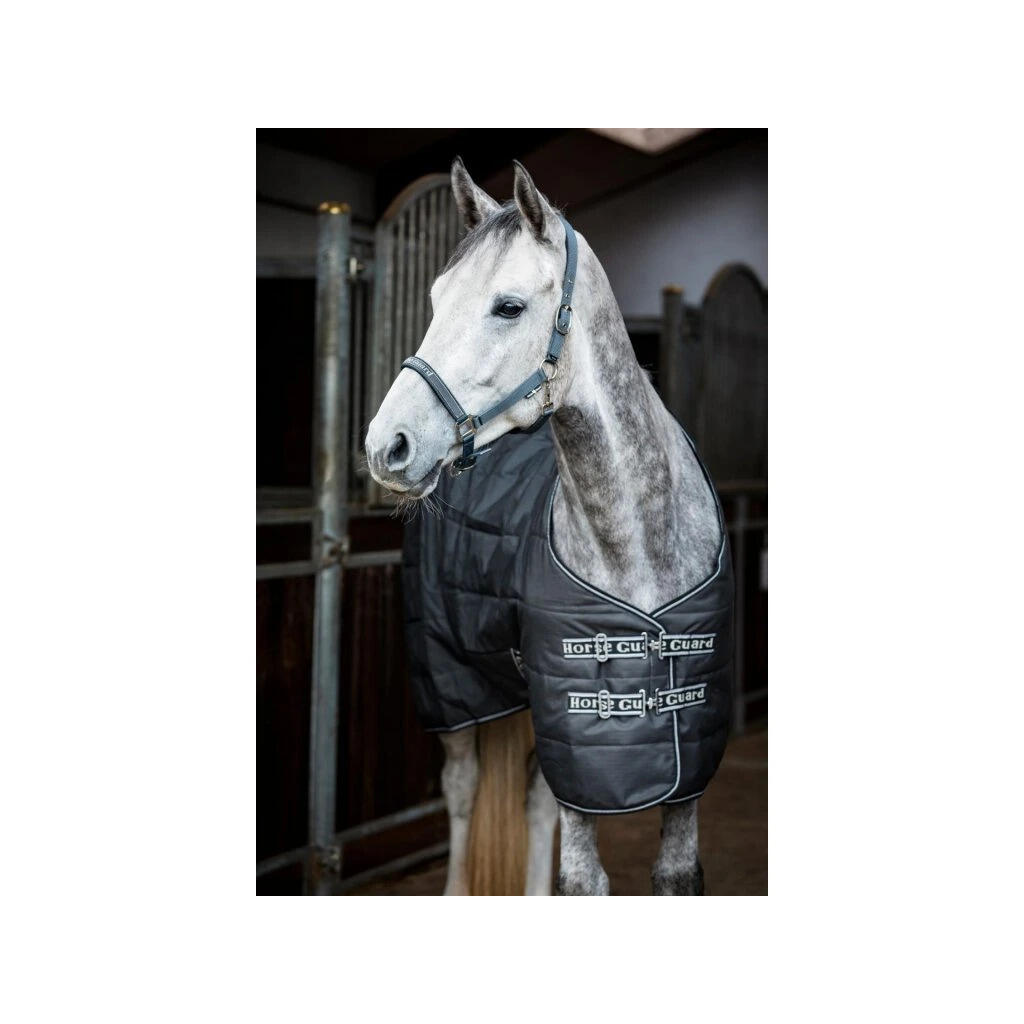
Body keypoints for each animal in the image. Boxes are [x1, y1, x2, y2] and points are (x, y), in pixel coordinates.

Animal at [365, 159, 726, 895]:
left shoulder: (687, 761)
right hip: (453, 690)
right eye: (435, 299)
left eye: (507, 307)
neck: (639, 545)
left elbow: (673, 872)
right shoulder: (574, 740)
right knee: (464, 790)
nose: (386, 446)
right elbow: (582, 879)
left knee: (531, 798)